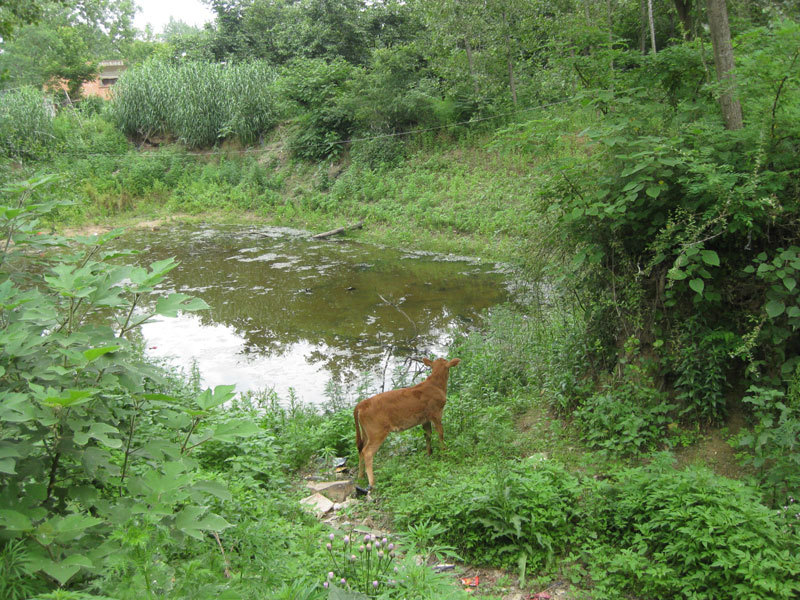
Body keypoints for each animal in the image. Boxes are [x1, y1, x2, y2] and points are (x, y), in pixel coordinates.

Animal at [354, 356, 460, 488]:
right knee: (367, 452)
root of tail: (361, 404)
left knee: (360, 449)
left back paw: (360, 476)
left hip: (365, 433)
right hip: (377, 432)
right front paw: (444, 451)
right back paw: (372, 483)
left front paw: (429, 454)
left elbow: (428, 435)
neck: (436, 385)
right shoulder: (436, 413)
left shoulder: (424, 419)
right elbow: (440, 433)